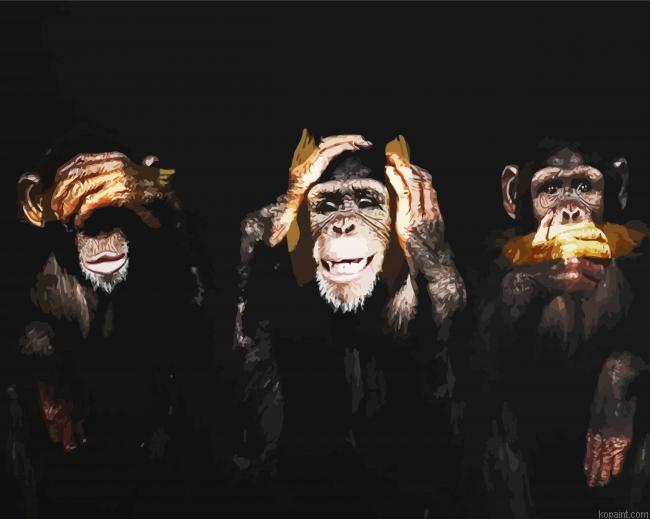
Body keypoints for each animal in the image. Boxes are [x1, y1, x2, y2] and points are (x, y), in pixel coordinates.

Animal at [224, 130, 466, 518]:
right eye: (328, 206)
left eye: (367, 203)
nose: (342, 225)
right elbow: (255, 449)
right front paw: (276, 215)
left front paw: (424, 234)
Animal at [468, 139, 650, 519]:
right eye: (550, 190)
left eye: (582, 187)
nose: (569, 213)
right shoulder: (486, 254)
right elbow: (473, 366)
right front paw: (552, 264)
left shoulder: (644, 240)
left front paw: (614, 390)